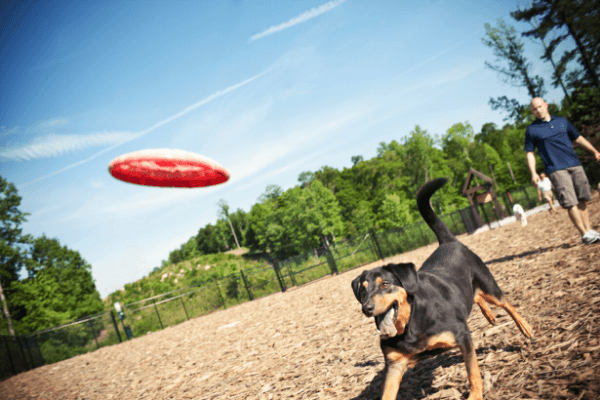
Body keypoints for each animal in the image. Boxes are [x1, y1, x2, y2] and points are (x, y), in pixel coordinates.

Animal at [352, 178, 536, 400]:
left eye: (385, 284)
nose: (367, 308)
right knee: (474, 296)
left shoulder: (462, 336)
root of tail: (449, 241)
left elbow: (472, 371)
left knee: (506, 303)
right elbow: (387, 393)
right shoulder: (395, 364)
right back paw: (489, 314)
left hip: (489, 285)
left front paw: (475, 395)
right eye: (362, 291)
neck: (411, 321)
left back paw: (525, 327)